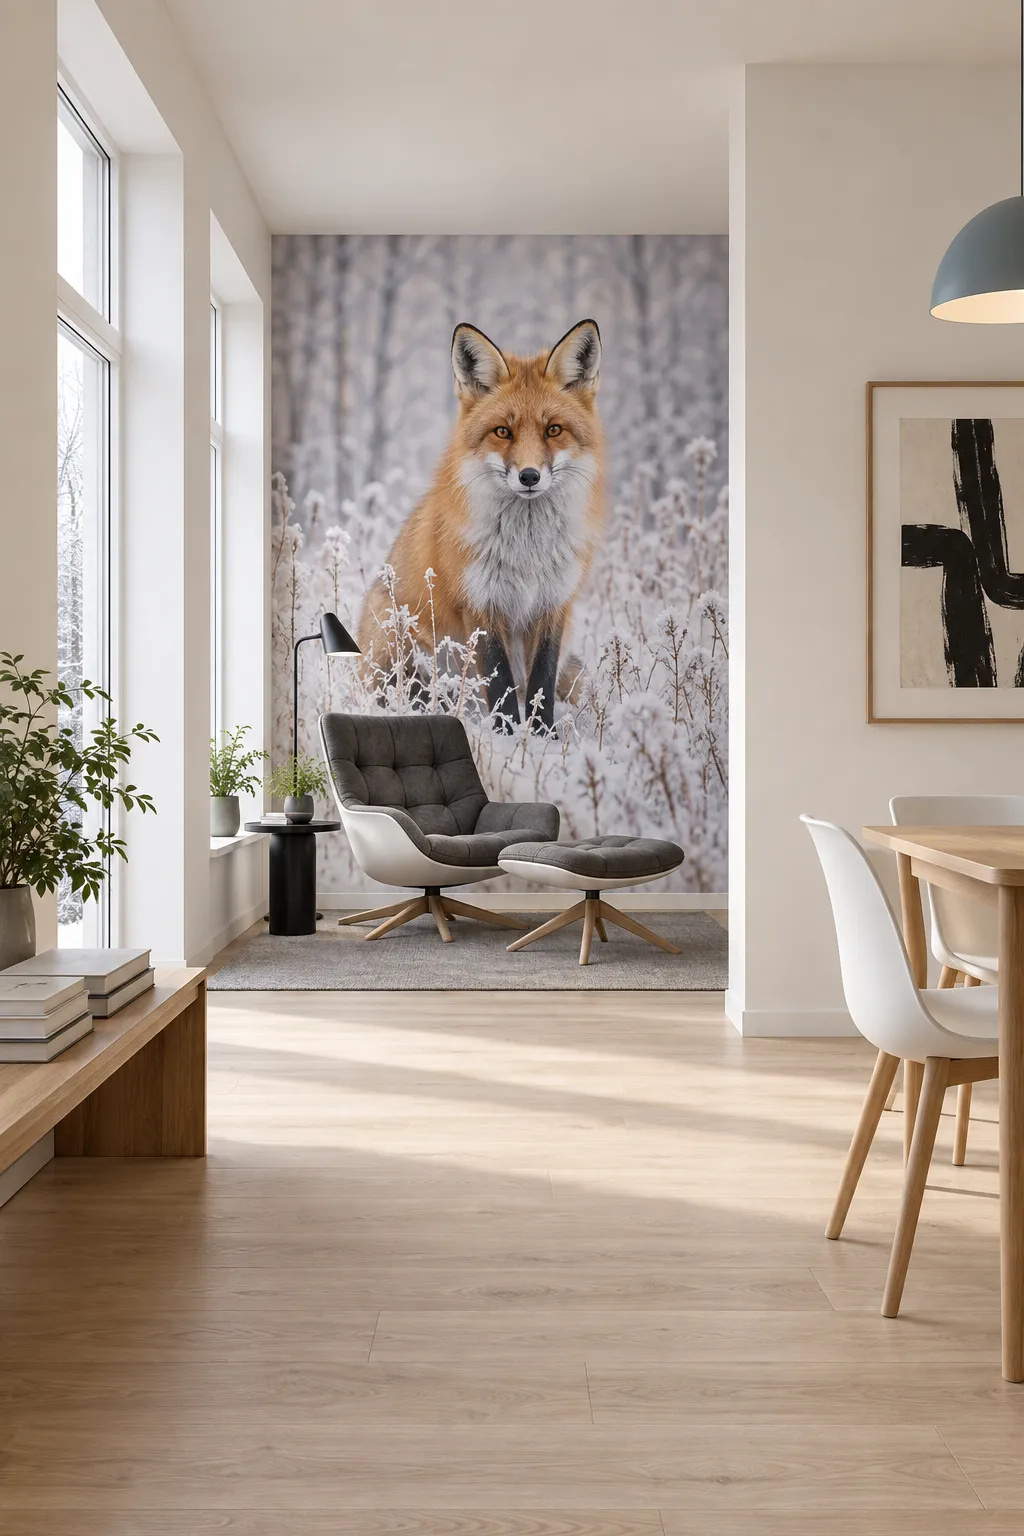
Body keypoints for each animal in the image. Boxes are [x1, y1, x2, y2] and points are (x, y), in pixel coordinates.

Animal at [358, 318, 606, 731]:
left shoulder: (554, 603)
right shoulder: (480, 602)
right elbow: (499, 680)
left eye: (553, 430)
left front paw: (542, 736)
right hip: (399, 643)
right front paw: (507, 733)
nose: (529, 476)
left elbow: (541, 680)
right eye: (502, 431)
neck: (527, 550)